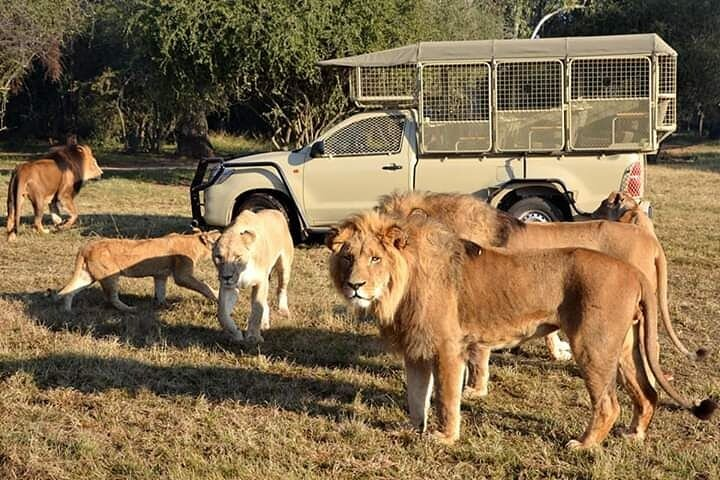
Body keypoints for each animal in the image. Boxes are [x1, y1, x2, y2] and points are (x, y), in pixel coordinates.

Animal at [53, 229, 220, 312]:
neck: (195, 241)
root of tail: (86, 247)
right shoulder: (182, 276)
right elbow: (204, 286)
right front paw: (217, 295)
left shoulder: (160, 276)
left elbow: (161, 292)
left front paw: (162, 305)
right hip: (110, 276)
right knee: (112, 298)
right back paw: (130, 309)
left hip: (86, 276)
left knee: (69, 291)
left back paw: (67, 311)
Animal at [213, 209, 294, 343]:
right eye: (219, 257)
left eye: (237, 257)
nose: (227, 277)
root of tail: (276, 211)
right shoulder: (228, 287)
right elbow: (222, 314)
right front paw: (236, 334)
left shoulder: (261, 282)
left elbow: (257, 310)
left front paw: (254, 337)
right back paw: (264, 324)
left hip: (284, 267)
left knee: (281, 289)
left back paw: (283, 310)